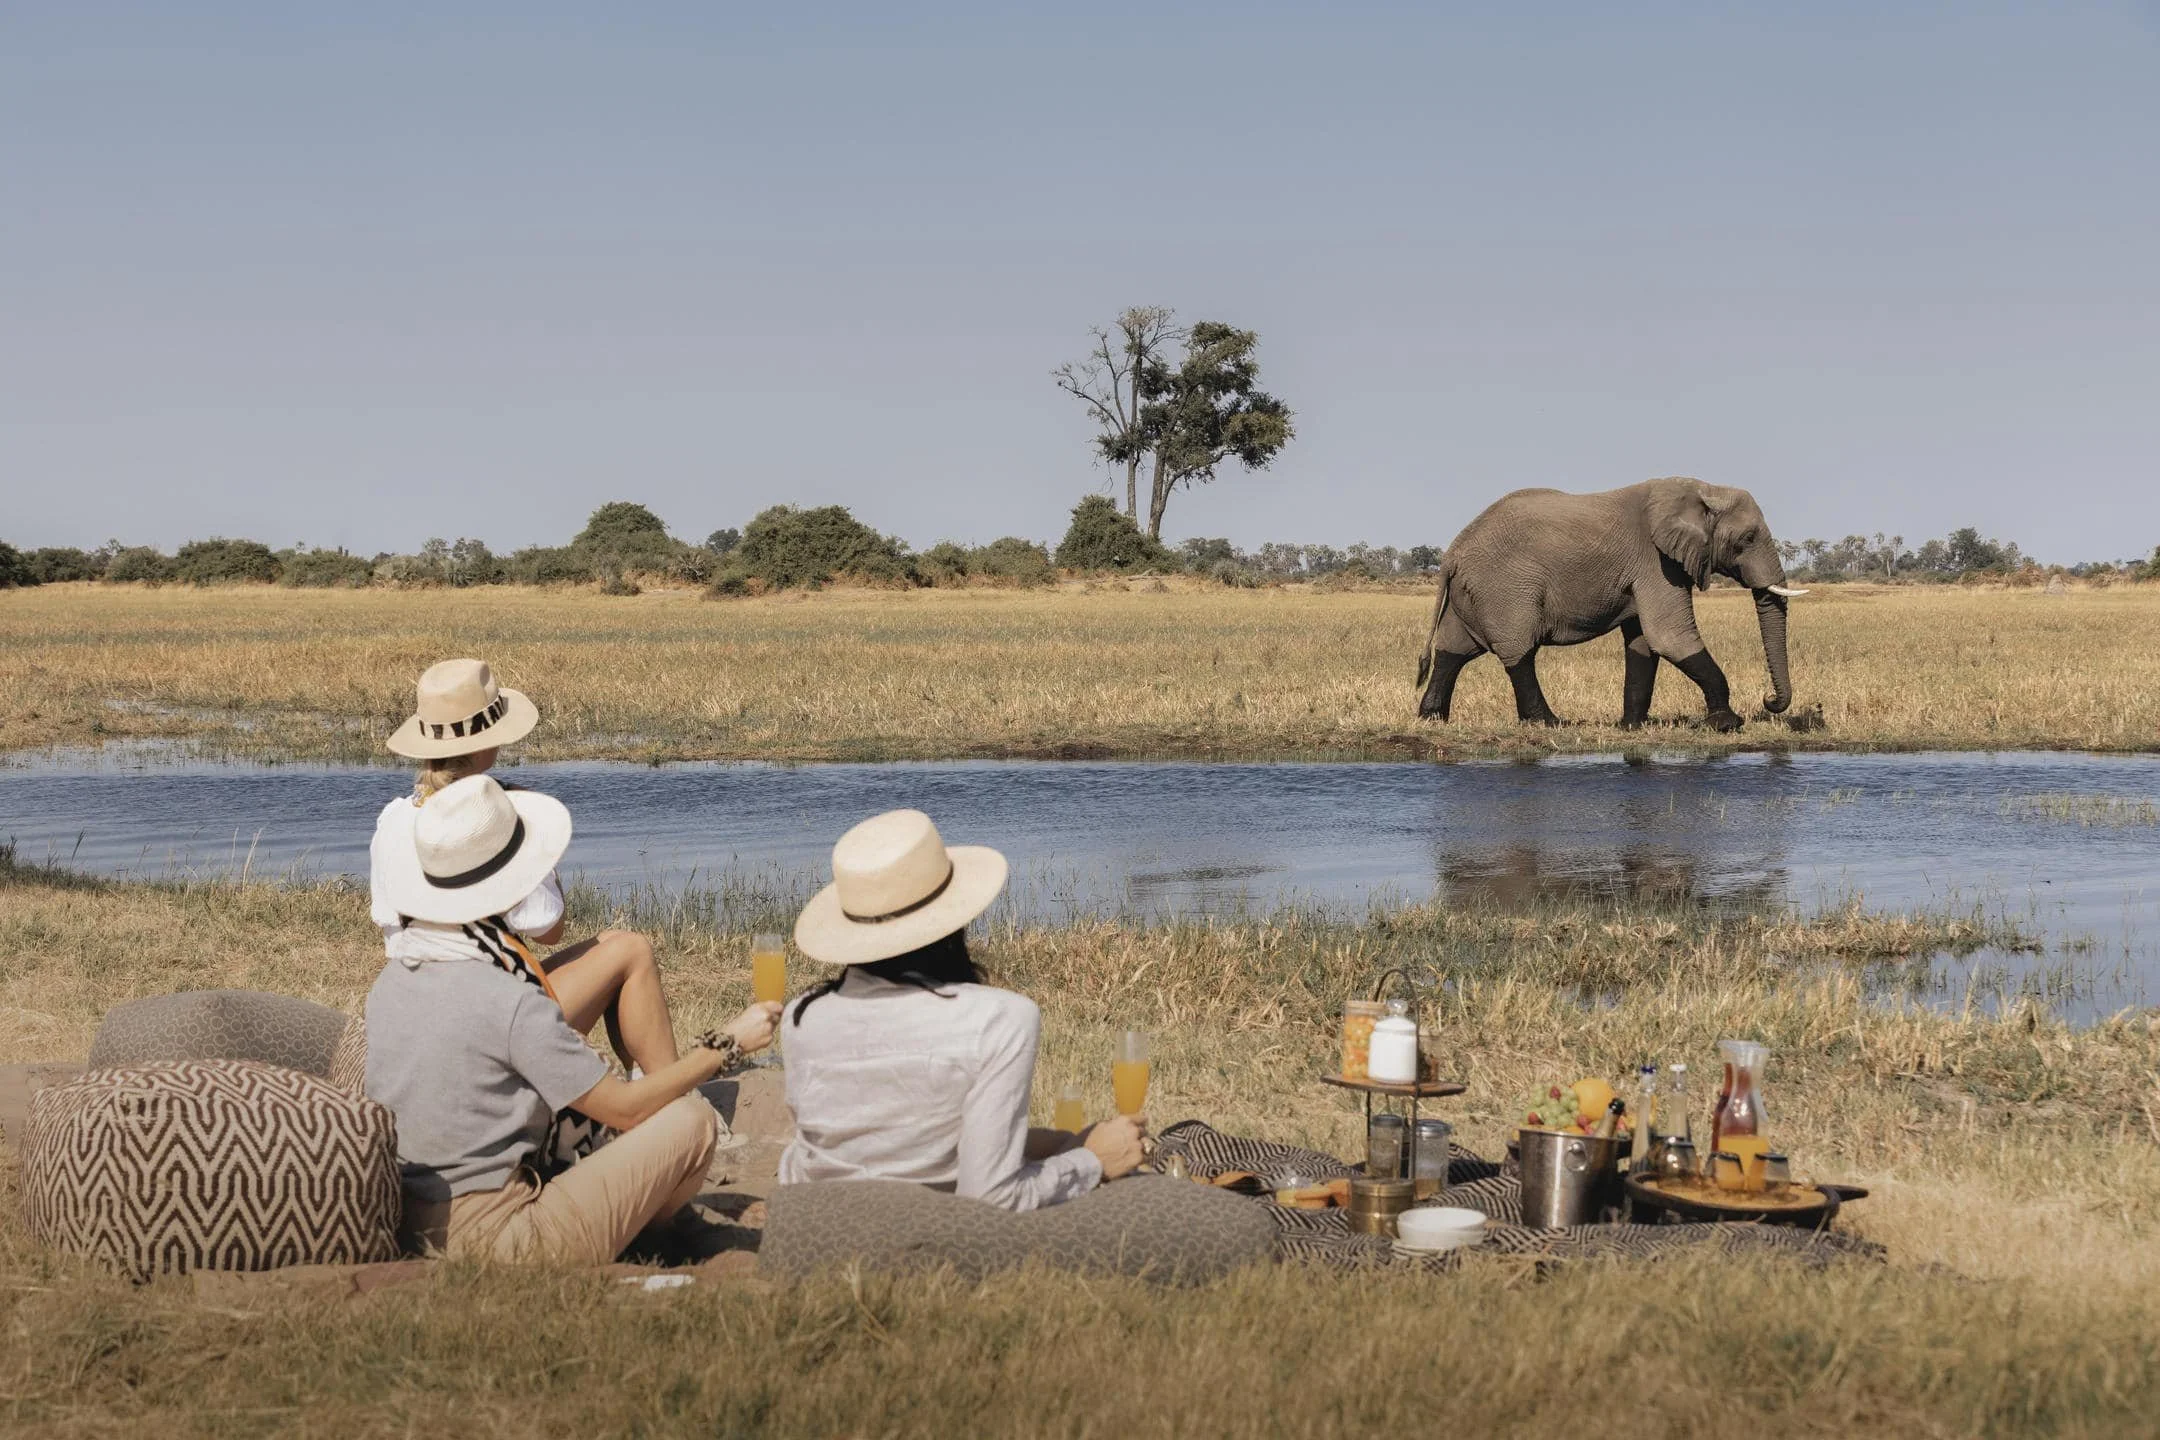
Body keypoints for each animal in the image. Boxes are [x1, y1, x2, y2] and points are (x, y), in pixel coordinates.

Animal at [1414, 477, 1805, 731]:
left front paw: (1632, 727)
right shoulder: (1655, 562)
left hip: (1472, 592)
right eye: (1747, 538)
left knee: (1453, 649)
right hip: (1505, 589)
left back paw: (1431, 718)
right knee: (1518, 652)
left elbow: (1643, 643)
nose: (1768, 699)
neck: (1702, 490)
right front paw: (1727, 724)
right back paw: (1550, 723)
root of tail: (1452, 553)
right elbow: (1670, 637)